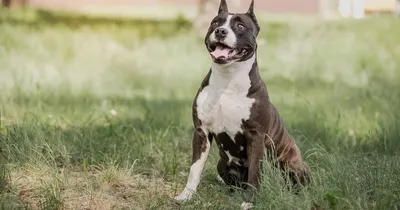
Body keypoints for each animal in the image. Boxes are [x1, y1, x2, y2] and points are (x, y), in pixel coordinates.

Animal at [173, 0, 310, 208]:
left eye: (240, 26)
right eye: (215, 23)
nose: (221, 31)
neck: (227, 80)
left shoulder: (255, 135)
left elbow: (254, 172)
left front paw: (249, 202)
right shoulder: (201, 132)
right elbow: (195, 168)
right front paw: (186, 195)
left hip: (295, 166)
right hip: (222, 164)